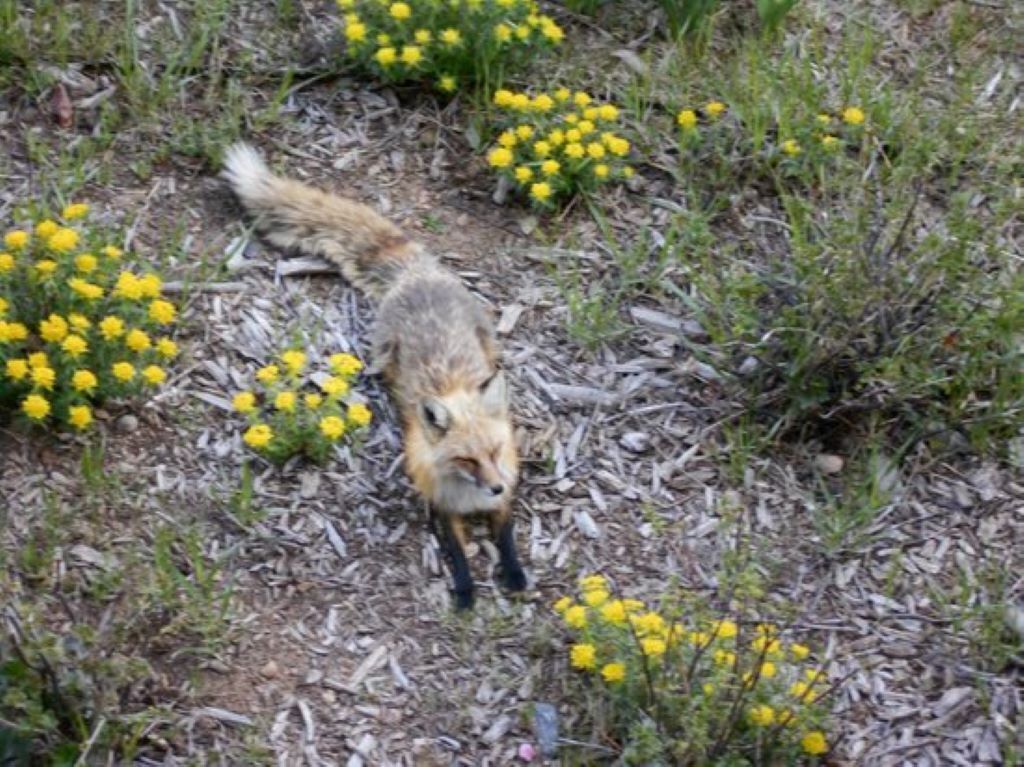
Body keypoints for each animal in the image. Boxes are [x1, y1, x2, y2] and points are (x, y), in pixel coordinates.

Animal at [221, 142, 527, 610]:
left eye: (494, 452)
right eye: (467, 460)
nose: (491, 487)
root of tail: (418, 274)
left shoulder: (506, 490)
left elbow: (507, 533)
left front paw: (513, 573)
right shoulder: (439, 506)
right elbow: (456, 552)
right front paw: (465, 590)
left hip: (486, 338)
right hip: (383, 352)